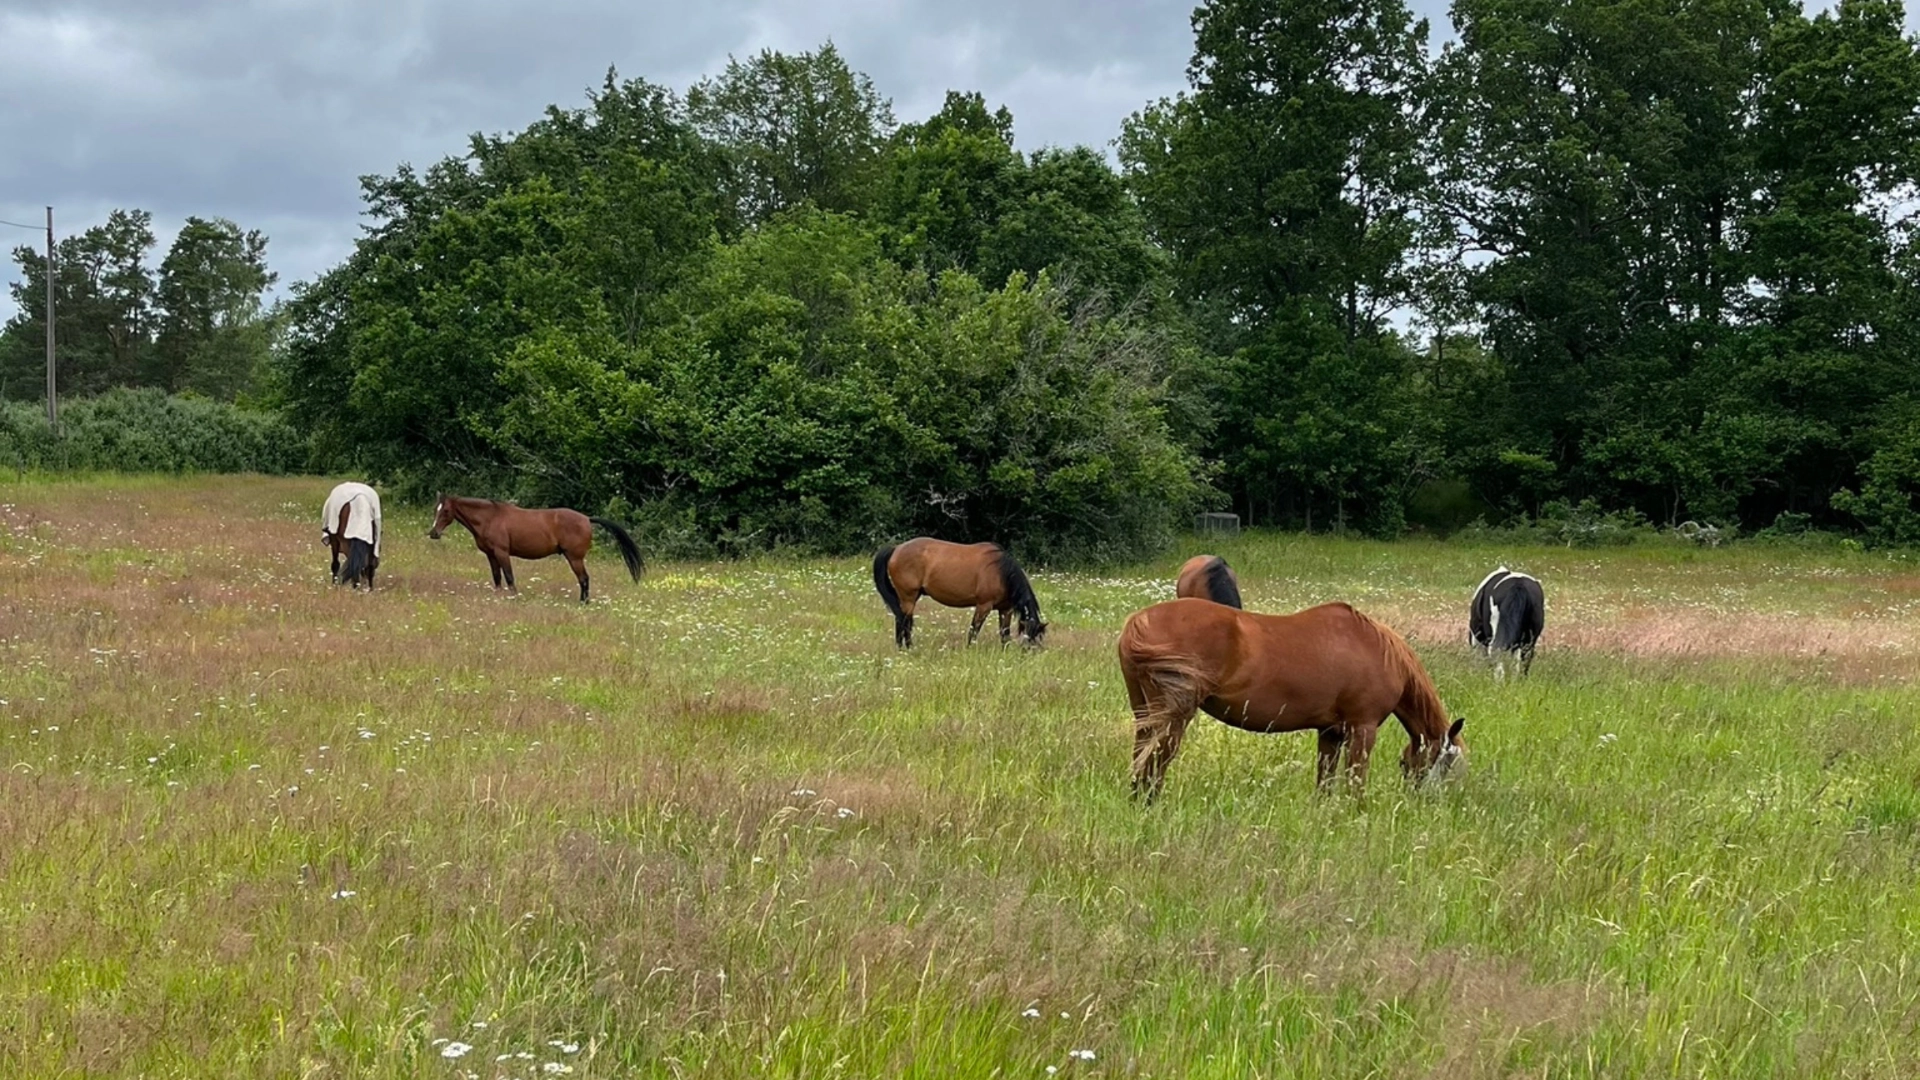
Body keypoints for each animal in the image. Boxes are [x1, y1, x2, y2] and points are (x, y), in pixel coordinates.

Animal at [428, 494, 643, 602]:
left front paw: (514, 599)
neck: (490, 518)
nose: (433, 533)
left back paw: (583, 602)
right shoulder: (491, 555)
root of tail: (587, 519)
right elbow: (497, 578)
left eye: (446, 511)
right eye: (435, 509)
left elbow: (509, 577)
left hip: (575, 558)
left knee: (584, 579)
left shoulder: (502, 553)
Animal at [872, 537, 1046, 649]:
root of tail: (896, 548)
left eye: (1039, 637)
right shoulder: (983, 606)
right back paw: (907, 648)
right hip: (908, 597)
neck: (1001, 572)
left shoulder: (1005, 609)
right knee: (904, 622)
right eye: (1028, 637)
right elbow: (973, 631)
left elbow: (1005, 634)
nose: (1031, 653)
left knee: (901, 620)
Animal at [1118, 598, 1466, 802]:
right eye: (1447, 761)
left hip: (1145, 713)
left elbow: (1325, 783)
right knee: (1155, 764)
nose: (1429, 802)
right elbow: (1355, 782)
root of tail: (1139, 621)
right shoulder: (1362, 729)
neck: (1378, 650)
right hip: (1172, 718)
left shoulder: (1331, 733)